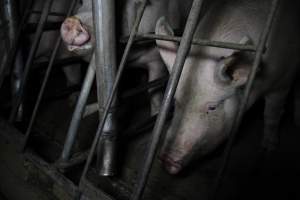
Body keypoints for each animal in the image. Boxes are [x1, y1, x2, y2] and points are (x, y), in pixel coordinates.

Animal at [59, 0, 192, 115]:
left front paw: (155, 113)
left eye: (117, 7)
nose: (71, 21)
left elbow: (153, 88)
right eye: (81, 2)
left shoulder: (156, 58)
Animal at [156, 0, 298, 173]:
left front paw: (267, 151)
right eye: (176, 101)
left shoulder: (282, 81)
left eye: (212, 107)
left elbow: (272, 114)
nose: (166, 160)